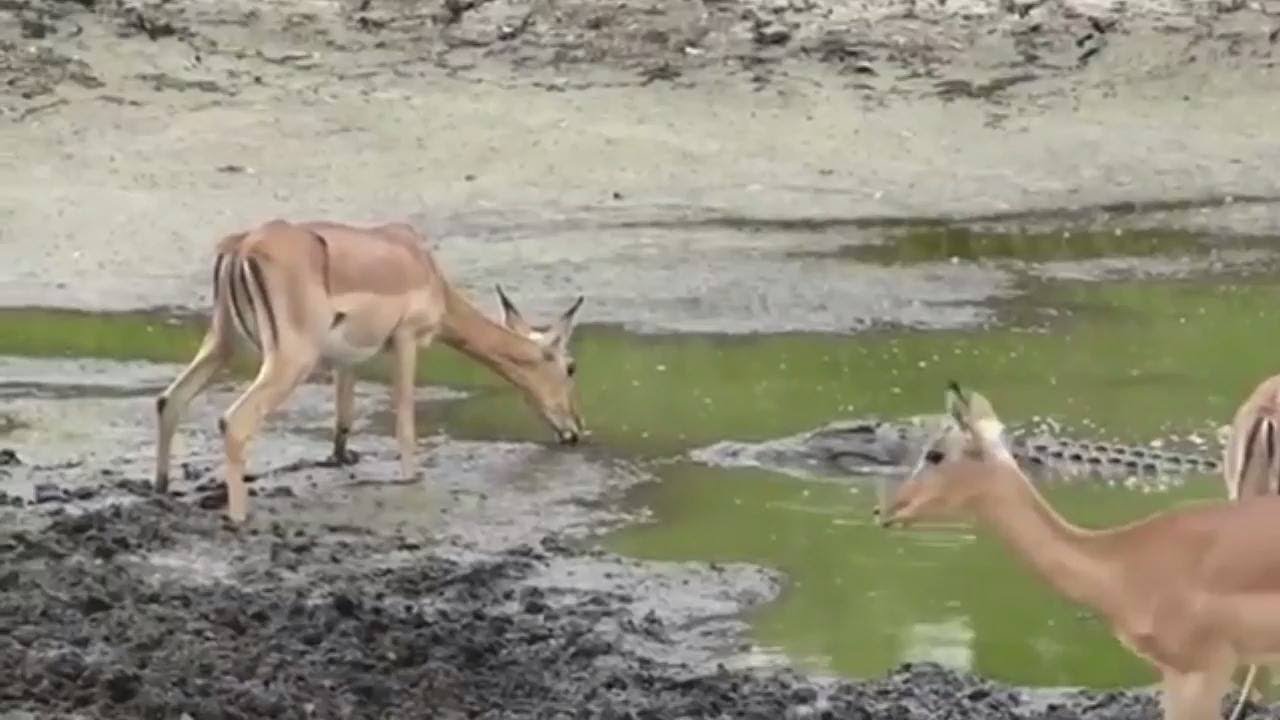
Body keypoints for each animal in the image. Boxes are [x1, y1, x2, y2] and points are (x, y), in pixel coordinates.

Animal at [154, 218, 587, 524]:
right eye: (570, 367)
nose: (575, 431)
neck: (421, 265)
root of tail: (241, 246)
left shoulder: (347, 361)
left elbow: (342, 425)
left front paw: (343, 461)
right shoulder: (407, 340)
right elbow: (406, 424)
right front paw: (411, 479)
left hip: (222, 344)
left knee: (168, 401)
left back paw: (161, 491)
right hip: (289, 361)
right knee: (235, 421)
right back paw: (238, 517)